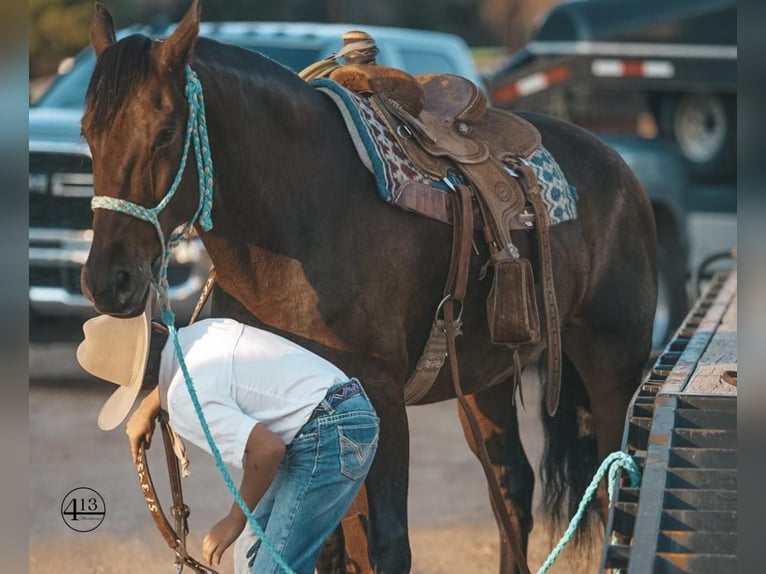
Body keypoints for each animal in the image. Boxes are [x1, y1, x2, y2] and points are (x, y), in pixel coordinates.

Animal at [81, 2, 660, 572]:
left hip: (613, 365)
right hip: (483, 382)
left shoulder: (378, 397)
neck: (304, 213)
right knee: (511, 491)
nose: (108, 280)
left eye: (165, 133)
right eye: (88, 133)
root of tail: (620, 167)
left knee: (612, 484)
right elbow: (331, 548)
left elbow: (384, 545)